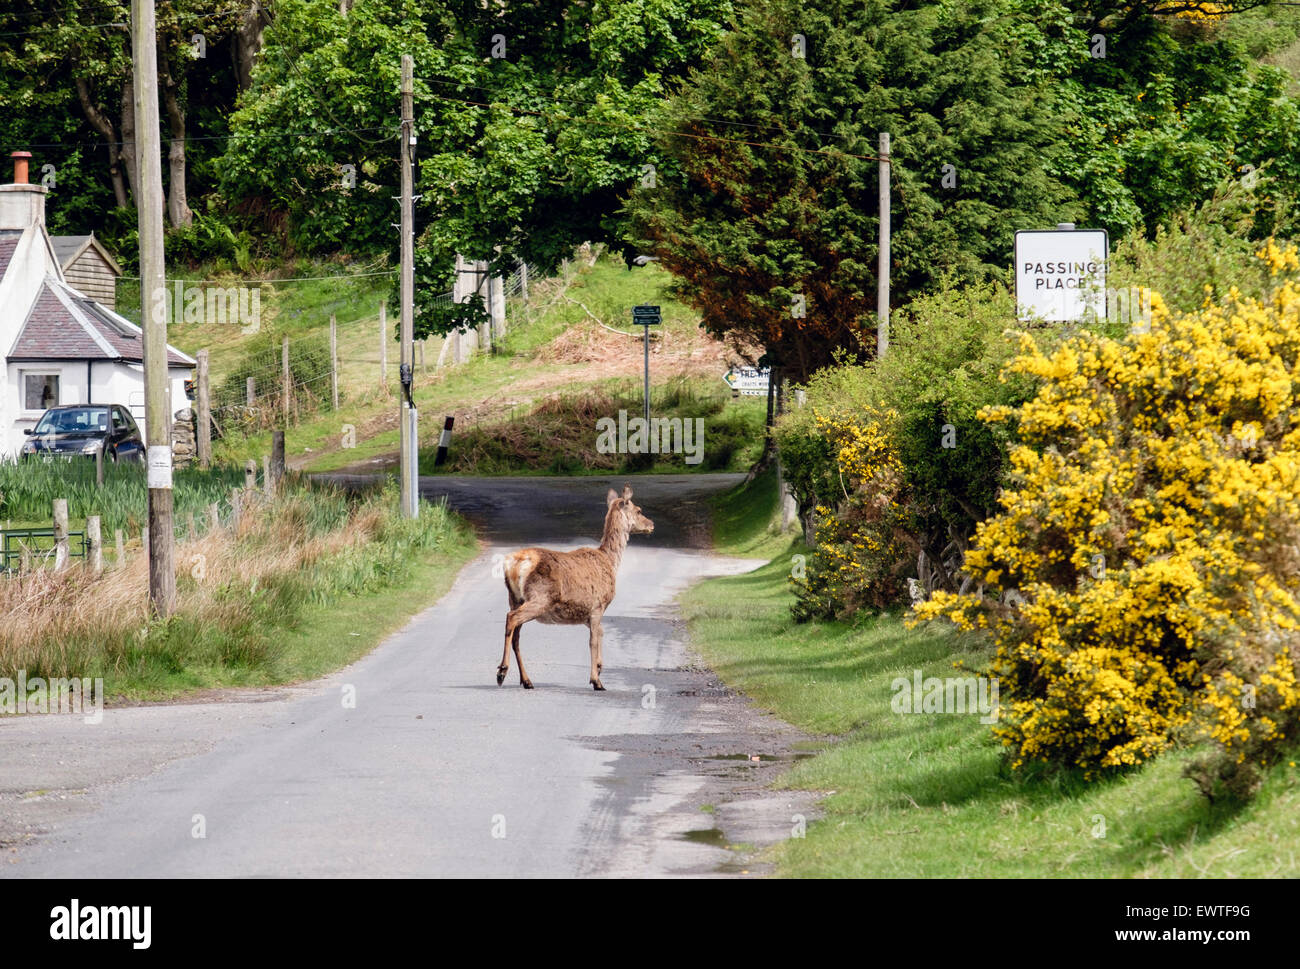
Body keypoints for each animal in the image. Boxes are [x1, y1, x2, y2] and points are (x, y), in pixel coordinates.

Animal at [501, 483, 655, 686]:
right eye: (639, 510)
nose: (652, 524)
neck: (610, 562)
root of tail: (513, 564)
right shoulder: (598, 605)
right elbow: (593, 640)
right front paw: (596, 680)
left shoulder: (584, 613)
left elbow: (601, 632)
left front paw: (599, 667)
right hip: (540, 596)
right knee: (511, 618)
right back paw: (502, 671)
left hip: (515, 597)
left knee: (516, 635)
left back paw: (526, 680)